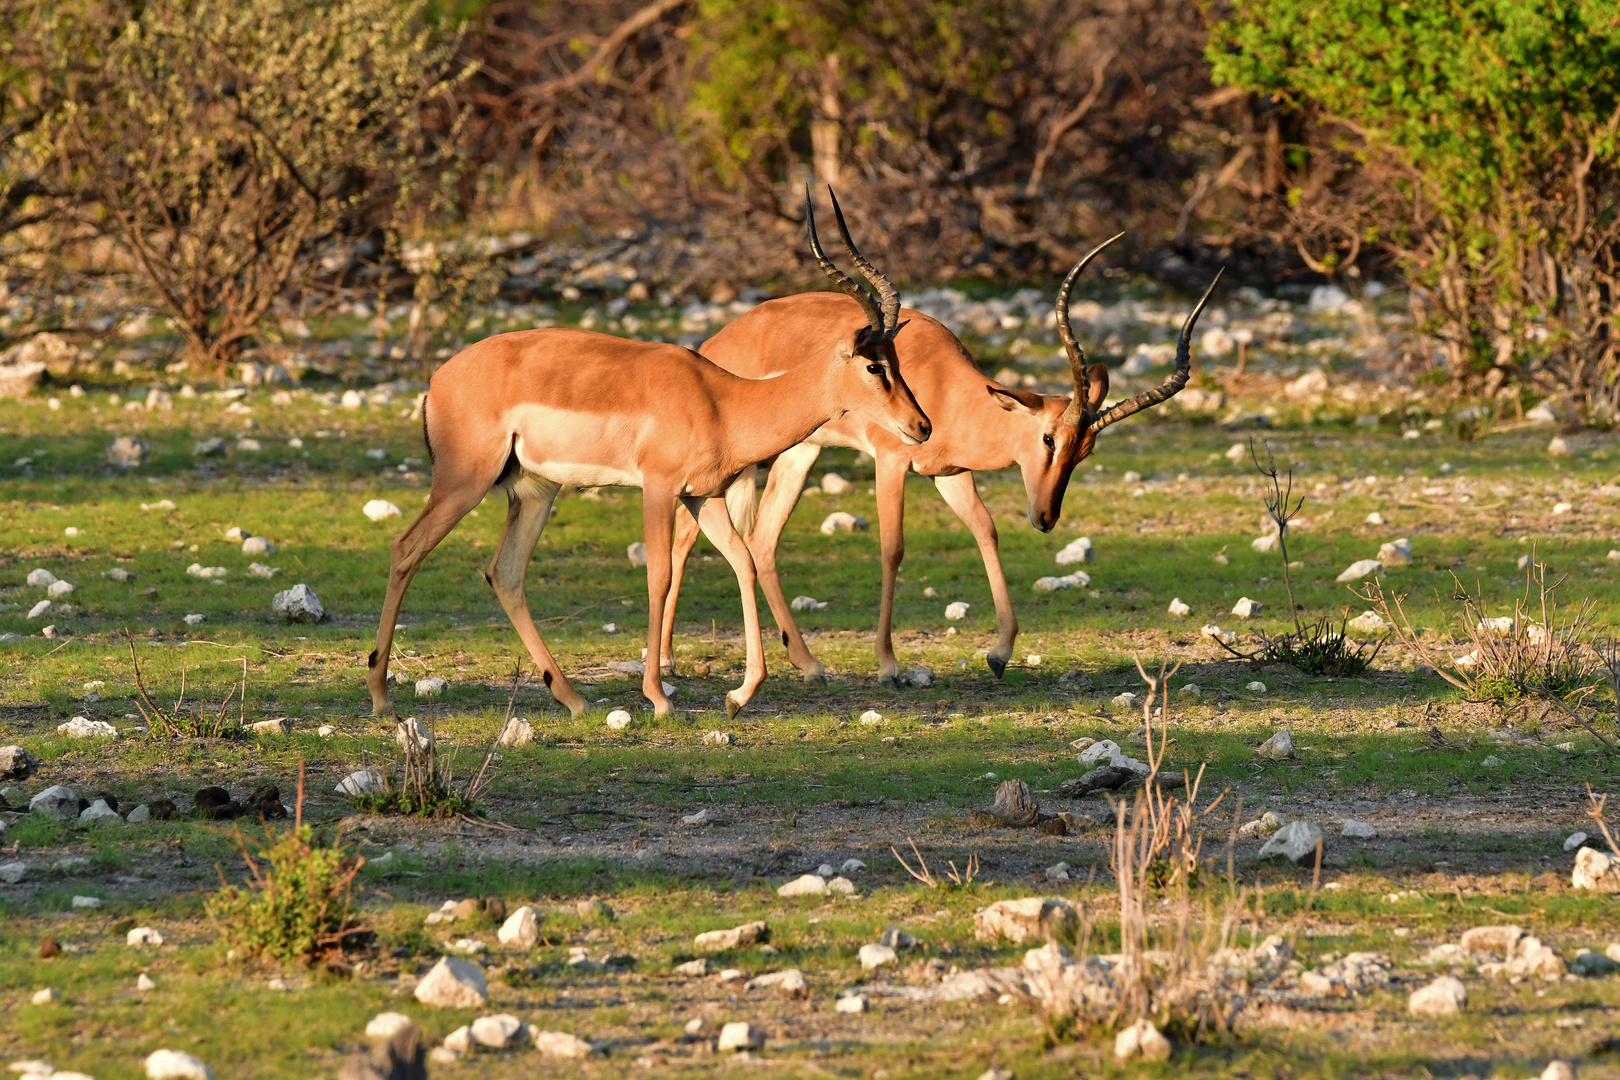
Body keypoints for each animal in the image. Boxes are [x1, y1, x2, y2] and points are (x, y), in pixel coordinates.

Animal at [364, 190, 926, 718]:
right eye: (874, 366)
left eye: (898, 360)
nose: (923, 426)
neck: (721, 401)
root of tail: (437, 380)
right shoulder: (658, 488)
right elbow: (660, 575)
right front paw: (658, 697)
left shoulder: (704, 497)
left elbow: (742, 561)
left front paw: (739, 695)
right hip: (463, 482)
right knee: (405, 549)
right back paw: (380, 696)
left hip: (535, 491)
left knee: (505, 574)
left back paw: (573, 699)